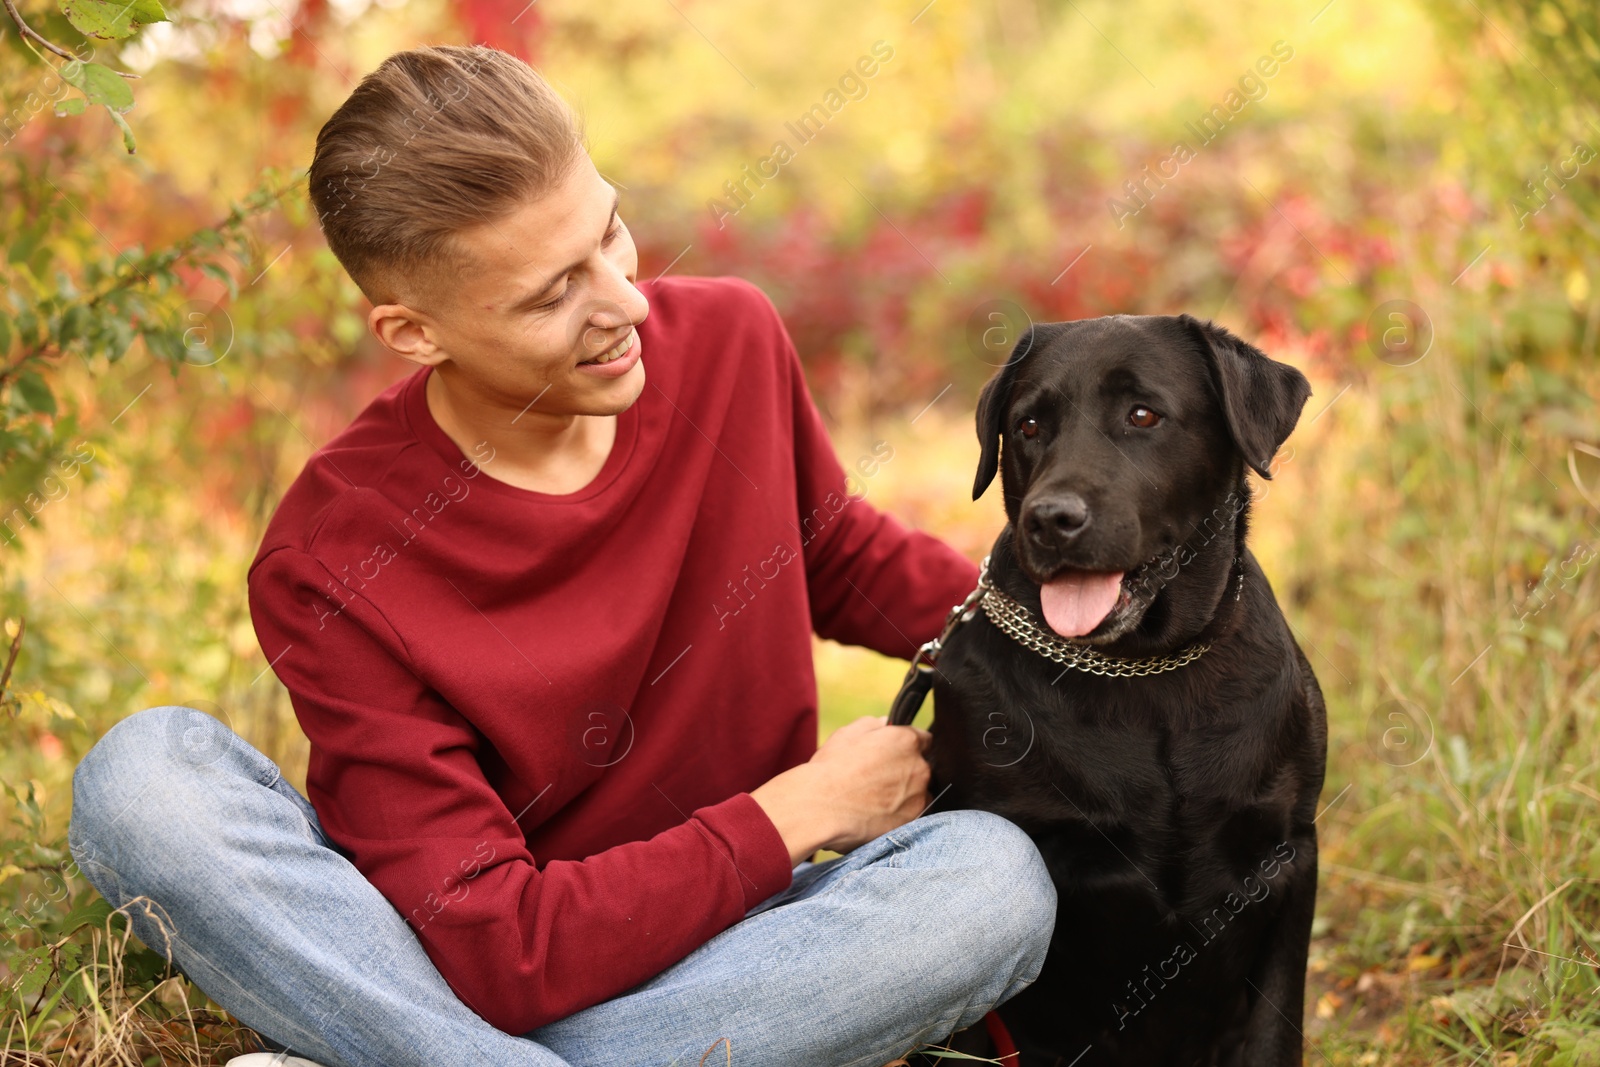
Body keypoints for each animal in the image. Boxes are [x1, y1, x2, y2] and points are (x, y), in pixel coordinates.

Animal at [928, 316, 1324, 1067]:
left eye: (1143, 415)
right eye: (1028, 426)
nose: (1051, 519)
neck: (1146, 669)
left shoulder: (1288, 859)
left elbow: (1274, 1031)